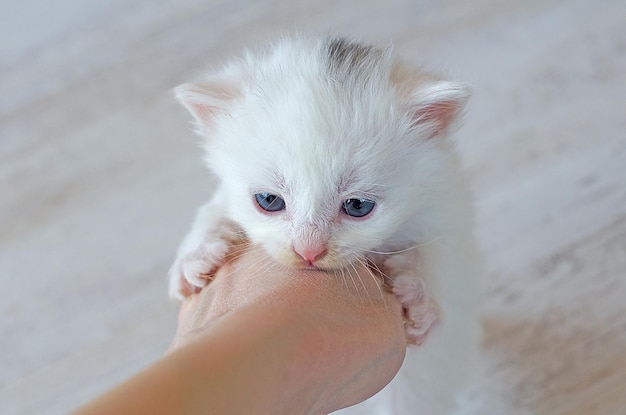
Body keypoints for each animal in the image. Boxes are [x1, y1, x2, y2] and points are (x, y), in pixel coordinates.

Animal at [168, 37, 476, 414]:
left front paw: (421, 296)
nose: (309, 251)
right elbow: (213, 211)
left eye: (358, 206)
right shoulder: (227, 194)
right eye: (268, 201)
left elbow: (440, 255)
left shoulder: (444, 206)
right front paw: (193, 257)